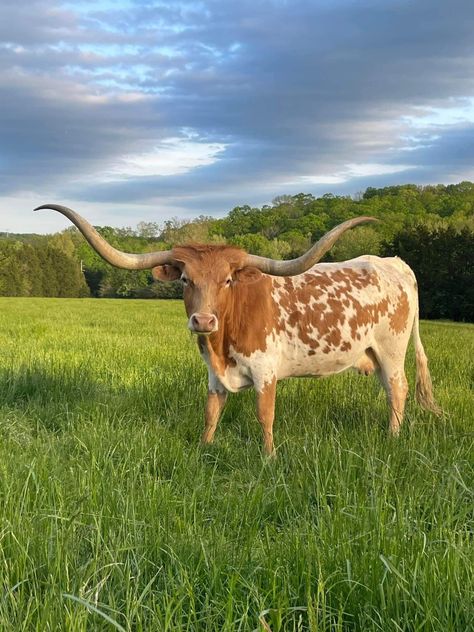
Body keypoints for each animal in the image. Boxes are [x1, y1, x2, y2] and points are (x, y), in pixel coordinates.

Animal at [36, 204, 440, 454]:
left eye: (228, 280)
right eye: (185, 279)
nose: (203, 321)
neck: (222, 343)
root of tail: (394, 263)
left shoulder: (265, 370)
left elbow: (265, 415)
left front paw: (269, 457)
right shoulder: (214, 375)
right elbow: (211, 411)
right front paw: (205, 447)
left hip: (391, 349)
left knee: (398, 389)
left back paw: (393, 437)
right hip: (374, 352)